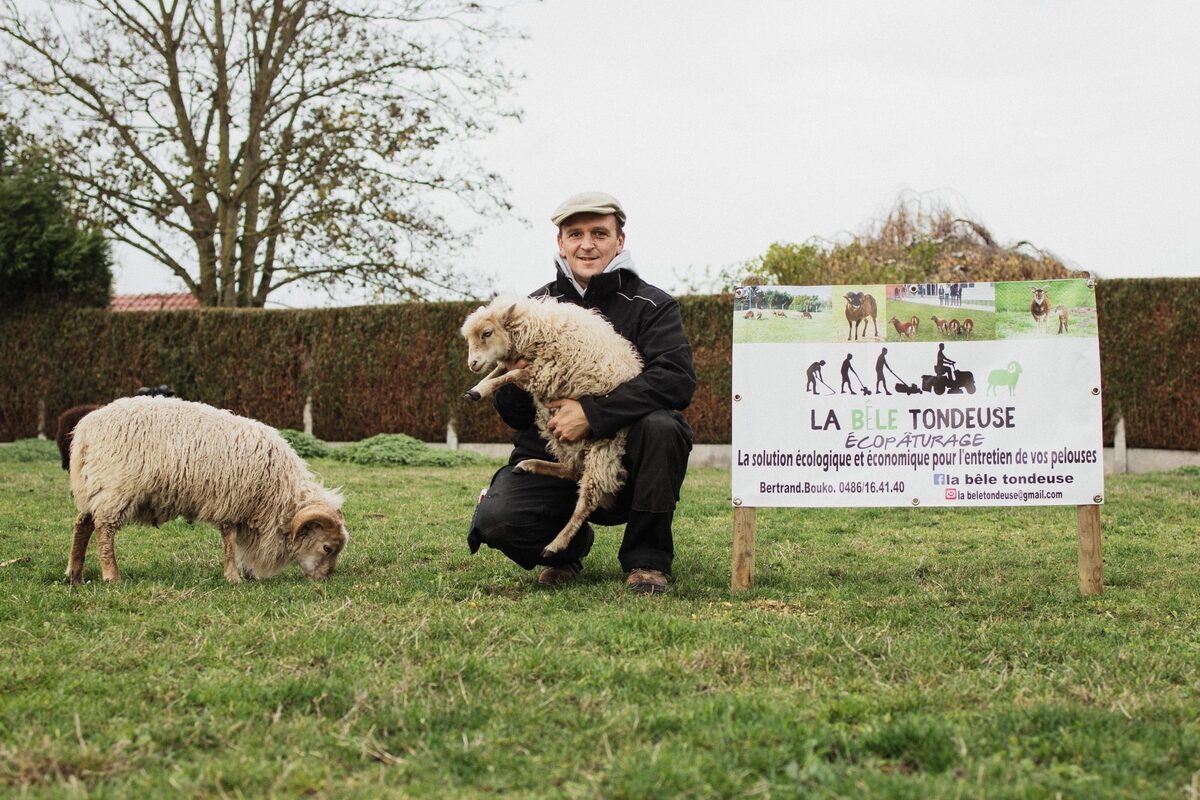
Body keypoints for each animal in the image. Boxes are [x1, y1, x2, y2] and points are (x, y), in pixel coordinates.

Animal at [66, 398, 348, 585]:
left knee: (83, 523)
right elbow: (230, 540)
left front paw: (249, 573)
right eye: (327, 548)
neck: (278, 492)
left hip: (97, 485)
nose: (325, 579)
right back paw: (111, 575)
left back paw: (75, 574)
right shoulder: (231, 502)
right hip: (117, 487)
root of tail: (86, 428)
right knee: (104, 529)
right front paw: (233, 577)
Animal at [460, 297, 648, 561]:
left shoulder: (542, 369)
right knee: (572, 469)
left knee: (586, 501)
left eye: (487, 333)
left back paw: (556, 544)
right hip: (558, 432)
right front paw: (477, 389)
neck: (532, 328)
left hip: (603, 446)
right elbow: (499, 370)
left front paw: (482, 389)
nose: (472, 364)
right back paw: (529, 465)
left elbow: (508, 374)